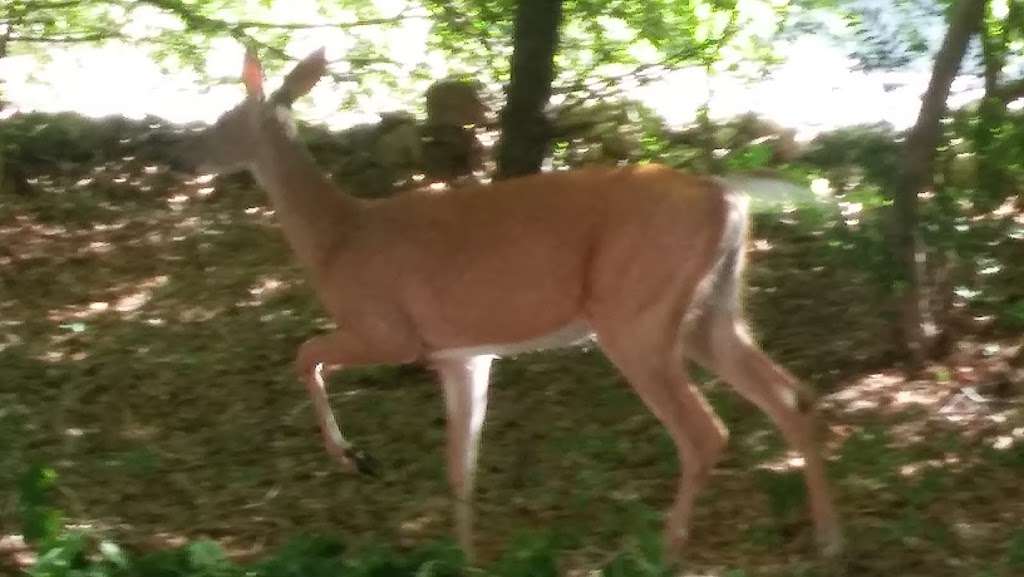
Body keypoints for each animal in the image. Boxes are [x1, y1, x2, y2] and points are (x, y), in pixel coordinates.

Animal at [167, 48, 839, 565]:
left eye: (223, 117)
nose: (184, 157)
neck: (338, 239)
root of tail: (728, 197)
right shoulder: (464, 355)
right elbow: (460, 464)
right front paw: (466, 558)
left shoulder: (386, 329)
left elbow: (303, 354)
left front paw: (354, 459)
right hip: (709, 310)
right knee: (792, 395)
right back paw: (829, 539)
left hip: (635, 312)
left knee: (706, 431)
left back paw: (667, 549)